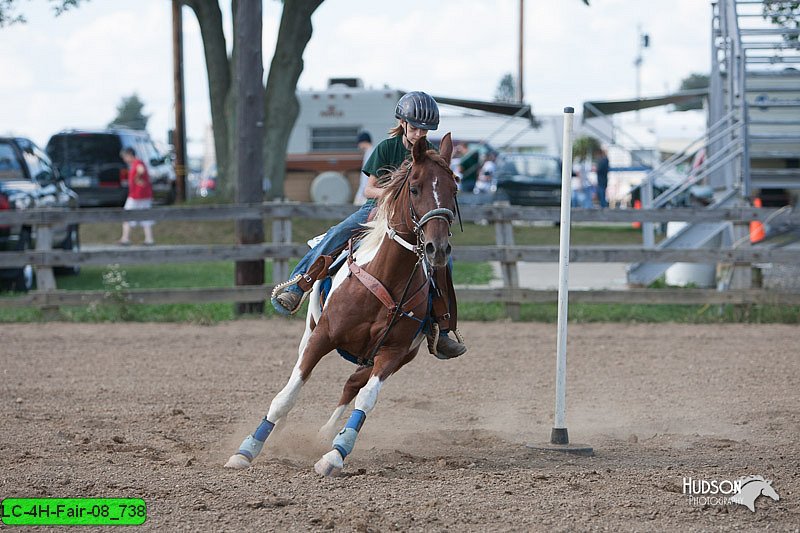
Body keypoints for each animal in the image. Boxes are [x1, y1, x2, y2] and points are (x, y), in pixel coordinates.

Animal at [228, 132, 460, 474]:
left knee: (352, 385)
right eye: (415, 187)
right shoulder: (322, 336)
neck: (387, 278)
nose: (437, 248)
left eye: (453, 189)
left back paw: (325, 435)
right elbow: (288, 394)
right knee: (299, 379)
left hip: (395, 357)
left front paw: (335, 454)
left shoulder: (393, 353)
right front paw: (247, 450)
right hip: (310, 330)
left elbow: (365, 399)